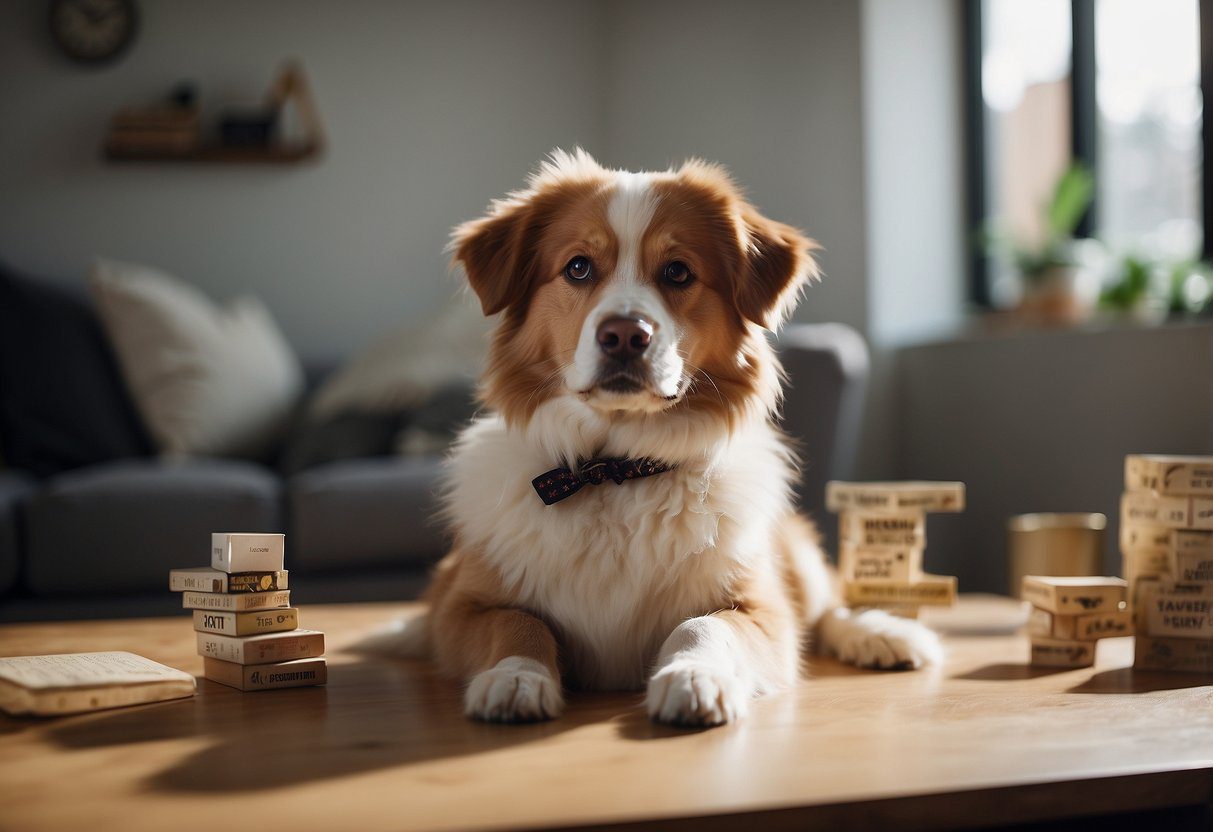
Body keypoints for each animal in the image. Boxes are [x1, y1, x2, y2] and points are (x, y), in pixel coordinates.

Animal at [393, 151, 941, 727]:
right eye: (578, 267)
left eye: (678, 271)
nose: (624, 335)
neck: (614, 470)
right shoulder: (462, 607)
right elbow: (519, 623)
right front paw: (517, 677)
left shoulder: (763, 610)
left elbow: (703, 623)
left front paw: (693, 677)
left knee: (829, 604)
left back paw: (882, 634)